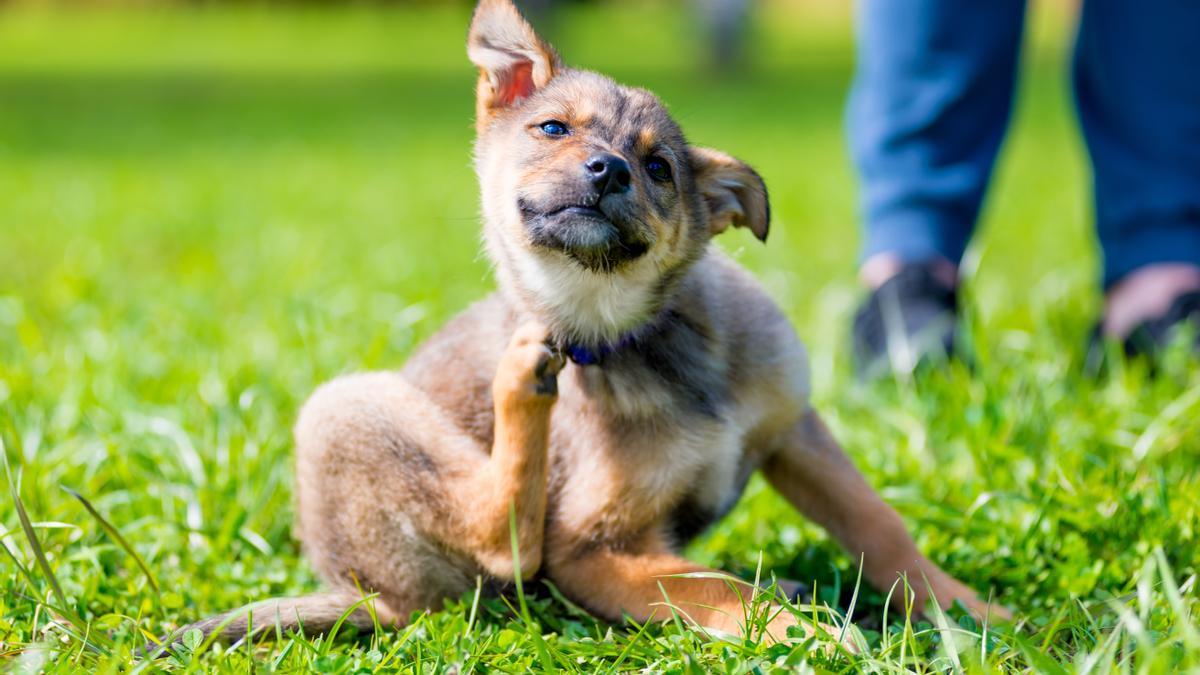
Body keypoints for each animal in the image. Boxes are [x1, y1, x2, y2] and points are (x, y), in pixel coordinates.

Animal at [174, 0, 1008, 648]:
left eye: (660, 168)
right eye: (552, 129)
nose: (607, 169)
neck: (643, 336)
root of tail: (366, 594)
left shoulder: (793, 429)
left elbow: (880, 526)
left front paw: (966, 608)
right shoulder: (588, 548)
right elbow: (715, 586)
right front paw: (802, 632)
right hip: (343, 407)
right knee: (503, 538)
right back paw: (522, 382)